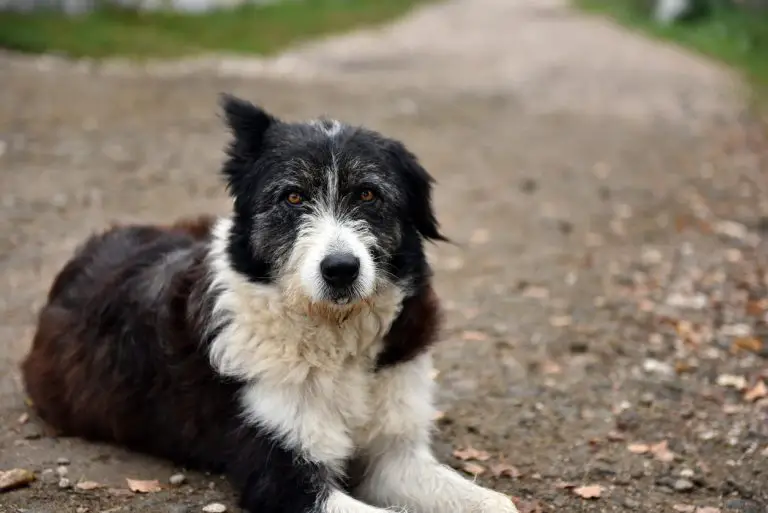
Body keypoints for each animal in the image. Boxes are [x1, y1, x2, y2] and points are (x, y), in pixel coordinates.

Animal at [21, 96, 520, 512]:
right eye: (293, 196)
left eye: (368, 194)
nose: (341, 269)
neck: (335, 336)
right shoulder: (282, 477)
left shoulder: (395, 456)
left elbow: (498, 503)